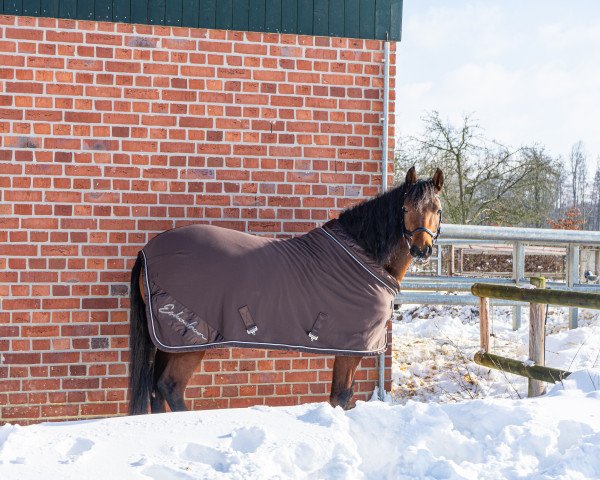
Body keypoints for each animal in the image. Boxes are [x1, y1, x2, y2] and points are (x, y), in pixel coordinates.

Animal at [129, 167, 442, 414]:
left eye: (437, 210)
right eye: (405, 209)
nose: (422, 250)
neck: (364, 255)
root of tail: (147, 252)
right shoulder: (351, 347)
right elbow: (341, 397)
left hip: (169, 341)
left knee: (156, 390)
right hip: (190, 341)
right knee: (170, 388)